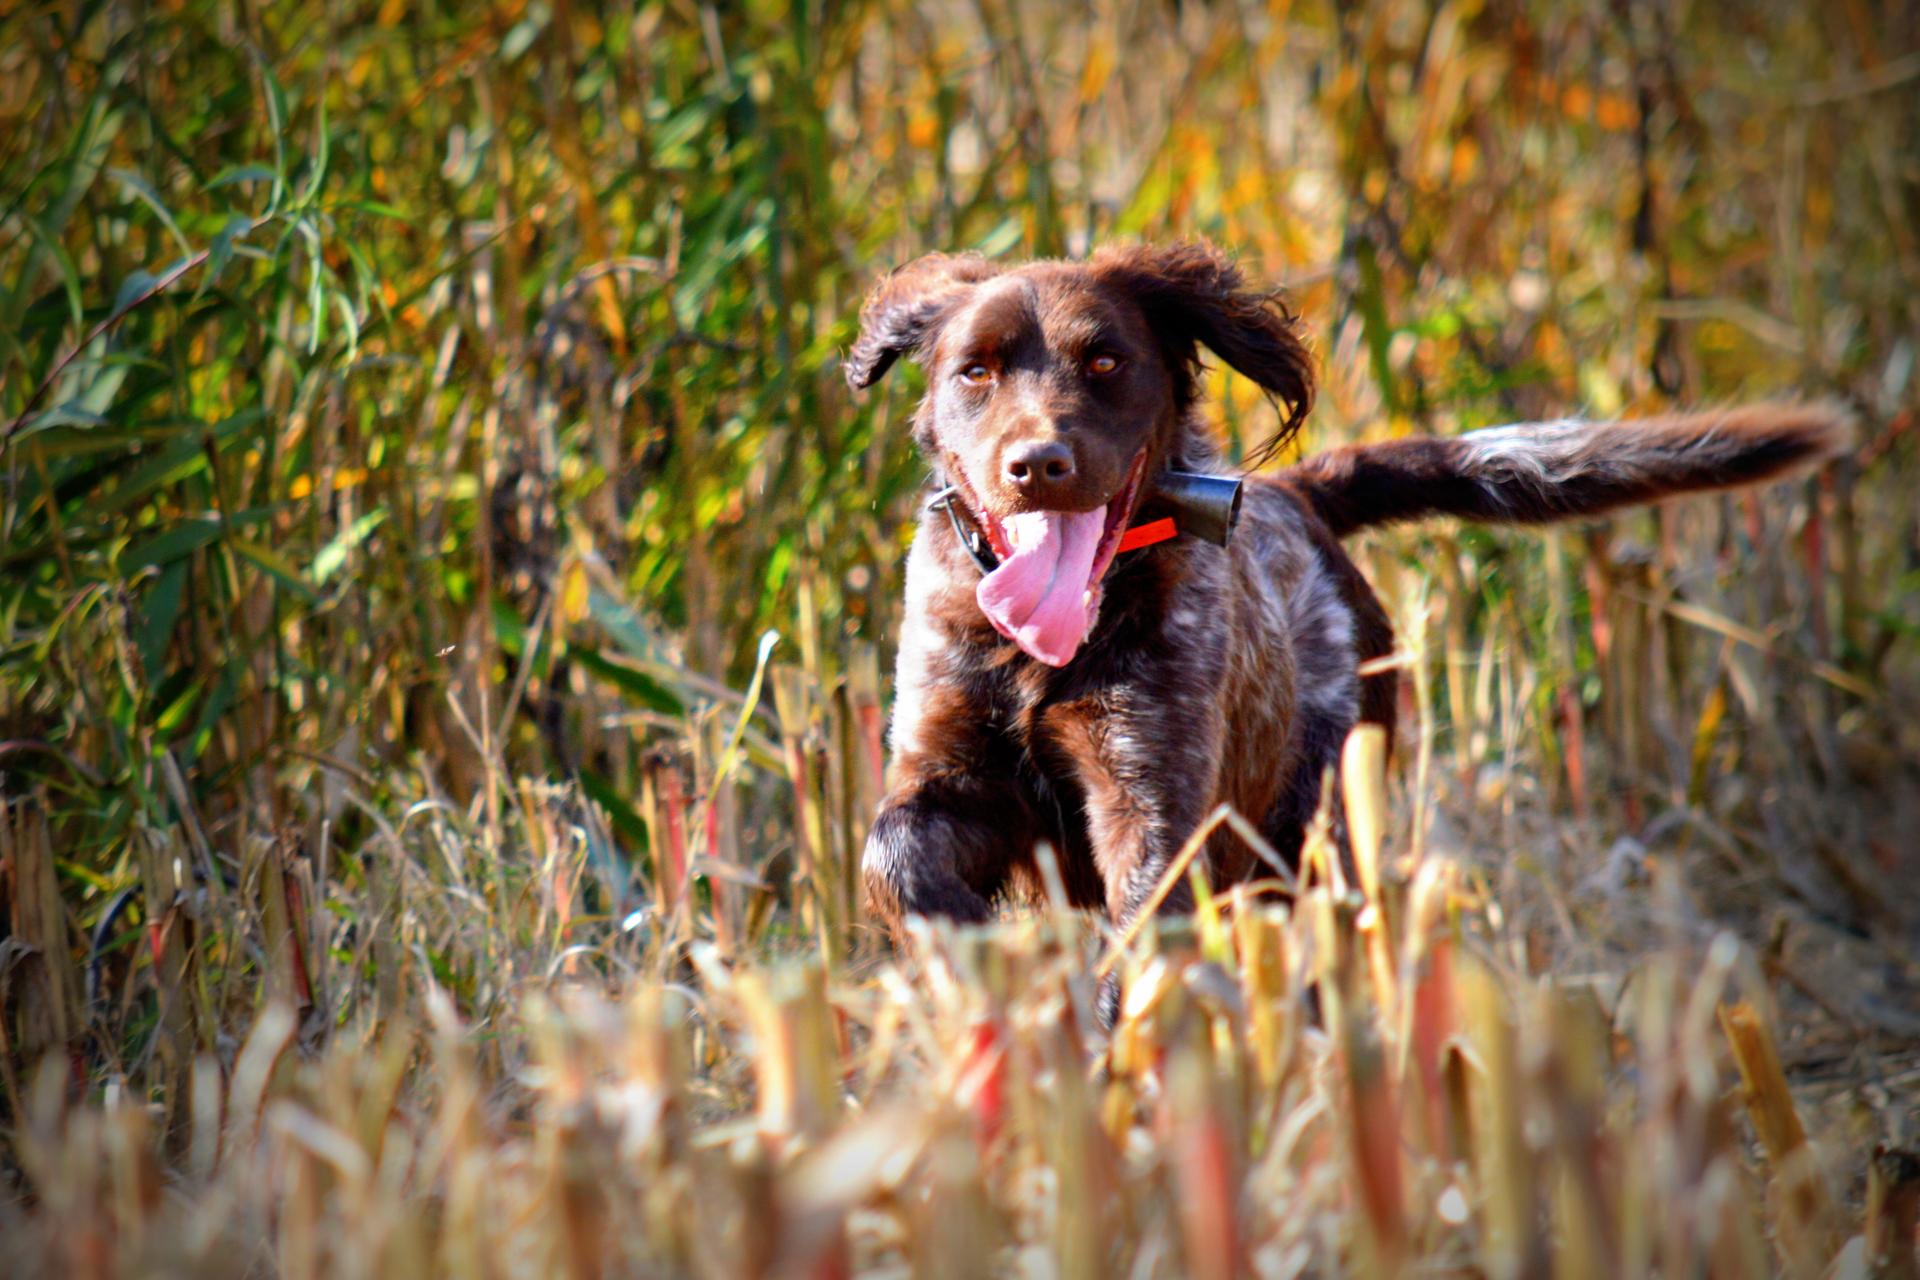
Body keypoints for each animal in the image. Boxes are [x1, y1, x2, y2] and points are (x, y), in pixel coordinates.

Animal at [848, 237, 1850, 982]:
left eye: (1105, 360)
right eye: (976, 372)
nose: (1038, 465)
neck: (1046, 650)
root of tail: (1299, 493)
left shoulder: (1153, 799)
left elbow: (1144, 930)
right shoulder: (949, 765)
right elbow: (890, 850)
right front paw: (971, 952)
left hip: (1319, 819)